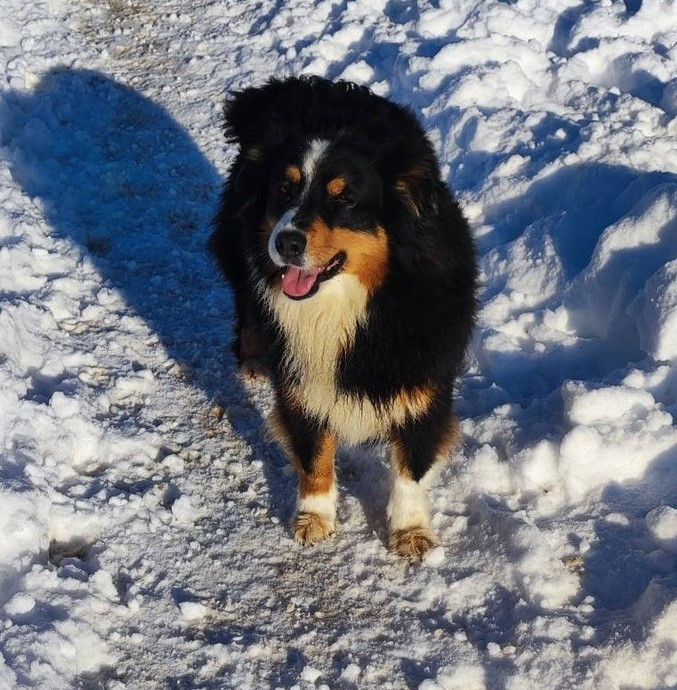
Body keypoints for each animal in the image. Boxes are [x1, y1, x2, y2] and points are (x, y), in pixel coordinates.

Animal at [210, 76, 477, 560]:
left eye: (345, 199)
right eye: (284, 189)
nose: (287, 242)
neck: (352, 303)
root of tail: (291, 87)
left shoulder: (425, 378)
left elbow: (411, 463)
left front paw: (410, 531)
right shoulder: (303, 381)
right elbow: (314, 452)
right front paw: (313, 518)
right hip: (239, 248)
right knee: (246, 299)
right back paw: (254, 358)